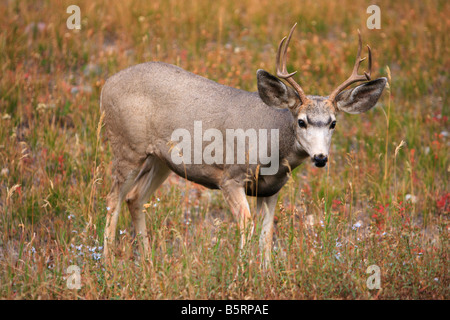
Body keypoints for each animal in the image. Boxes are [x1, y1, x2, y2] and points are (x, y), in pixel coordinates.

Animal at [99, 23, 386, 268]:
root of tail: (106, 85)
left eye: (333, 123)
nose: (320, 157)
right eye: (302, 121)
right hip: (127, 147)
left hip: (160, 160)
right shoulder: (230, 177)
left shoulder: (272, 189)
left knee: (135, 198)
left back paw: (148, 262)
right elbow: (247, 225)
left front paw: (266, 274)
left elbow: (267, 232)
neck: (272, 148)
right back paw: (108, 264)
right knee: (113, 198)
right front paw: (242, 272)